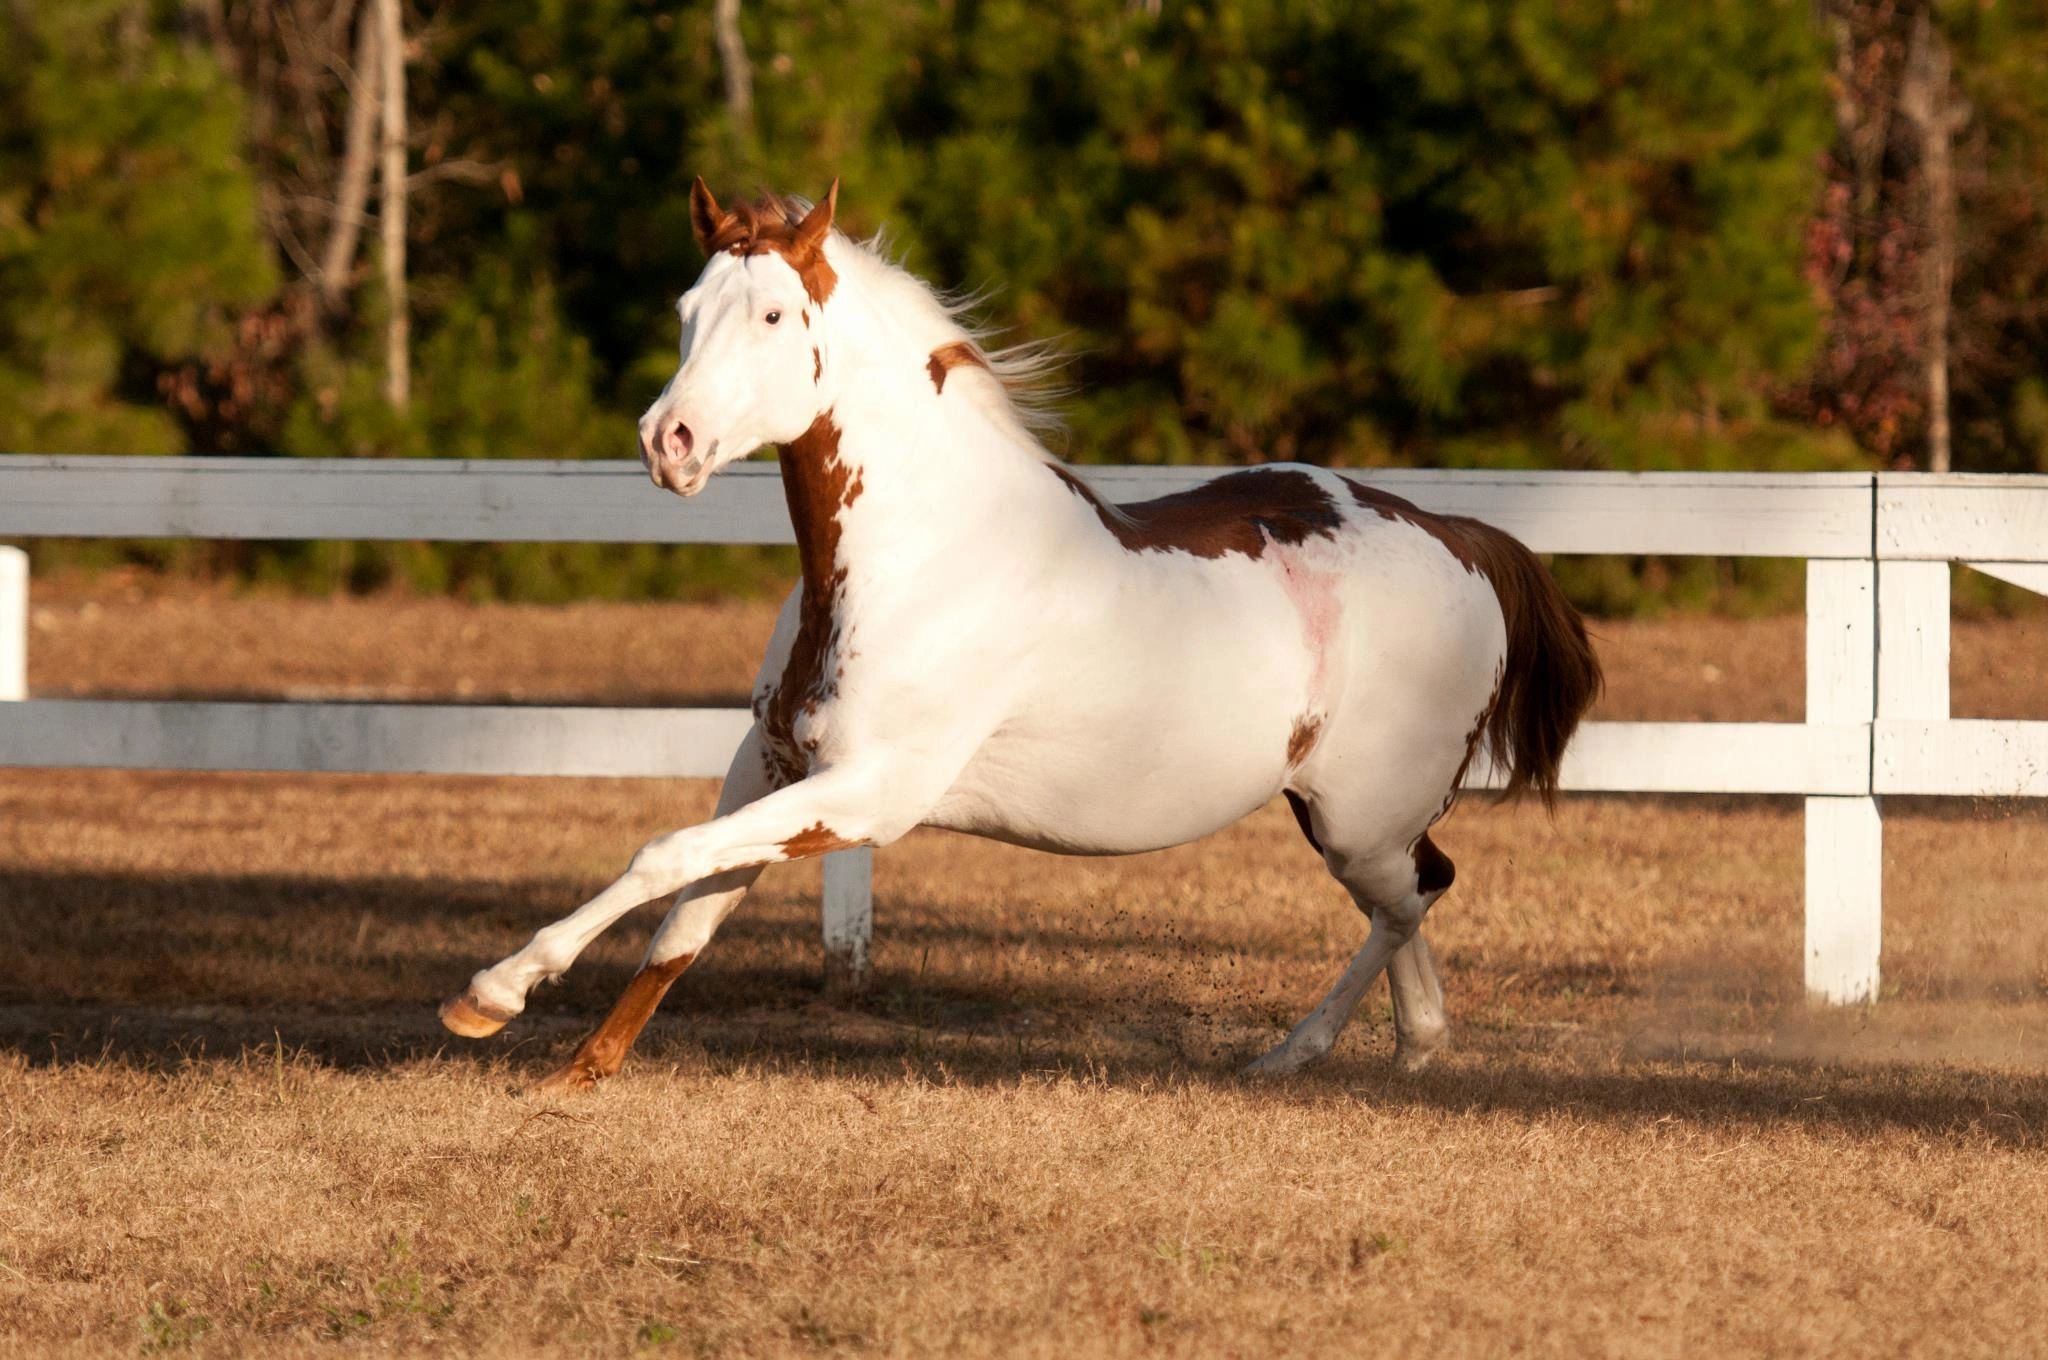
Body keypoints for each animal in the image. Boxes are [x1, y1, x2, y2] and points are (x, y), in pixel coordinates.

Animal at [438, 179, 1602, 1093]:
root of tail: (1455, 534)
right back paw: (1411, 1050)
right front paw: (579, 1071)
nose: (667, 443)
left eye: (772, 313)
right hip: (1336, 813)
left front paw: (490, 993)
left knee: (1408, 899)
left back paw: (1293, 1052)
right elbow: (687, 913)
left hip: (1360, 815)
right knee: (1414, 897)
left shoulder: (868, 795)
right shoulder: (768, 766)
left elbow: (662, 853)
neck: (922, 558)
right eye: (687, 309)